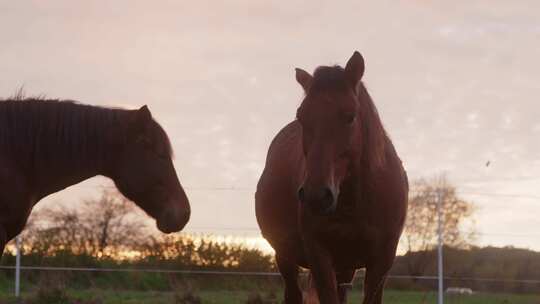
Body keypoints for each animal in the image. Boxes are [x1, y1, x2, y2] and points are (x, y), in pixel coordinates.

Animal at [255, 51, 408, 302]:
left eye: (350, 116)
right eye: (301, 116)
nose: (316, 196)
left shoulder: (382, 261)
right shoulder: (320, 256)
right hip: (286, 257)